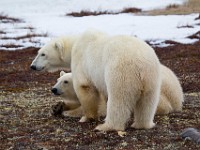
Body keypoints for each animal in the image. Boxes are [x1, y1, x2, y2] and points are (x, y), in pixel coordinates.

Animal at [30, 30, 164, 131]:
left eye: (43, 54)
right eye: (39, 52)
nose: (32, 66)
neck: (75, 44)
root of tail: (141, 63)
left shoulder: (81, 61)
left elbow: (84, 87)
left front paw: (87, 117)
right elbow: (104, 94)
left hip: (121, 72)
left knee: (118, 100)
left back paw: (106, 126)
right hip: (152, 77)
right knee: (148, 102)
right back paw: (142, 124)